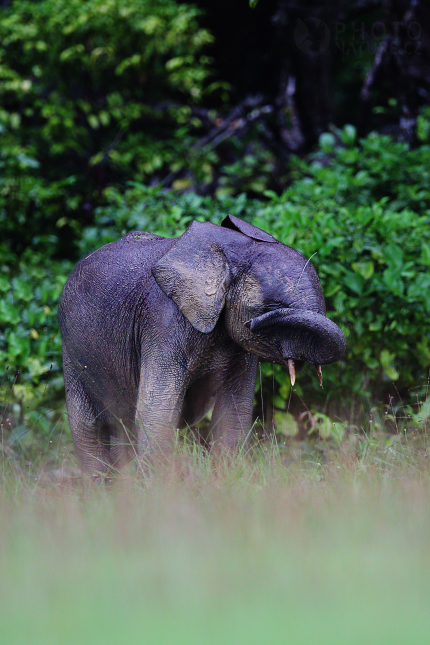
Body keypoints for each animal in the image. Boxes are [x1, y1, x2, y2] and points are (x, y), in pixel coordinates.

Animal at [58, 213, 346, 472]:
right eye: (269, 308)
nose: (254, 324)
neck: (227, 253)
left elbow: (233, 413)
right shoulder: (164, 323)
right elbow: (157, 412)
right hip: (71, 352)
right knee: (87, 426)